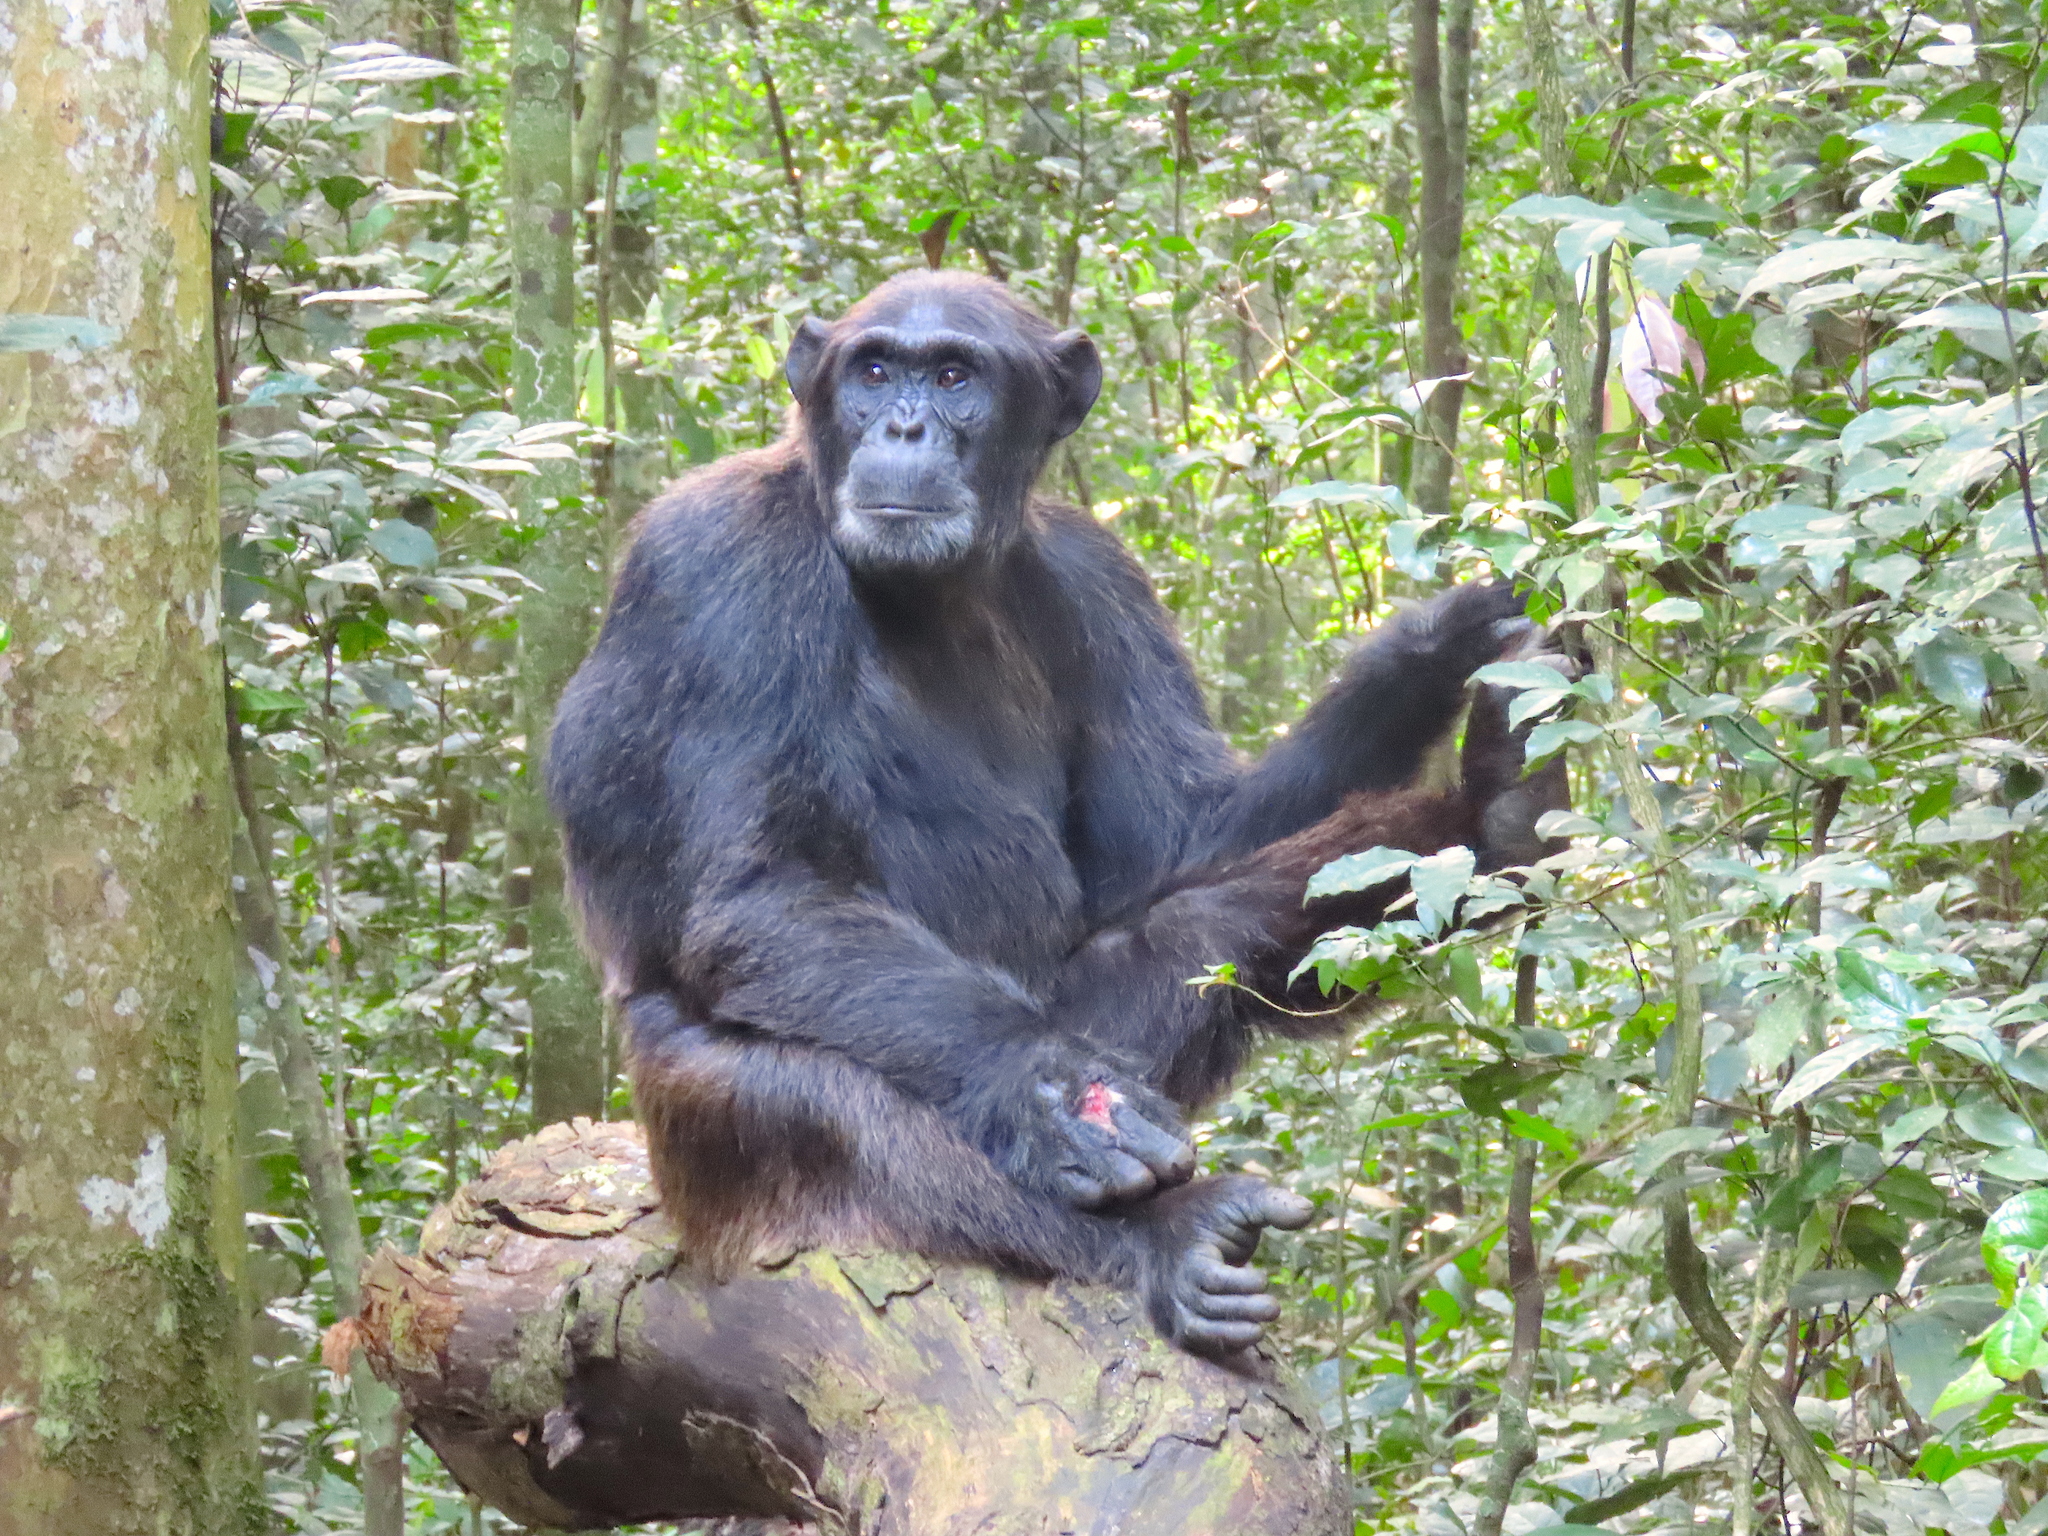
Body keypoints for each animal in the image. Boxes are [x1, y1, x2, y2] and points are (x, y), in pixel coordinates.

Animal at [548, 270, 1564, 1351]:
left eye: (955, 376)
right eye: (874, 372)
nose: (904, 425)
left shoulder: (1098, 575)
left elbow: (1184, 834)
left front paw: (1451, 638)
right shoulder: (725, 565)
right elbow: (764, 887)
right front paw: (1054, 1096)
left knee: (1204, 924)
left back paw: (1495, 818)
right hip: (694, 1155)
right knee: (811, 1098)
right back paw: (1166, 1238)